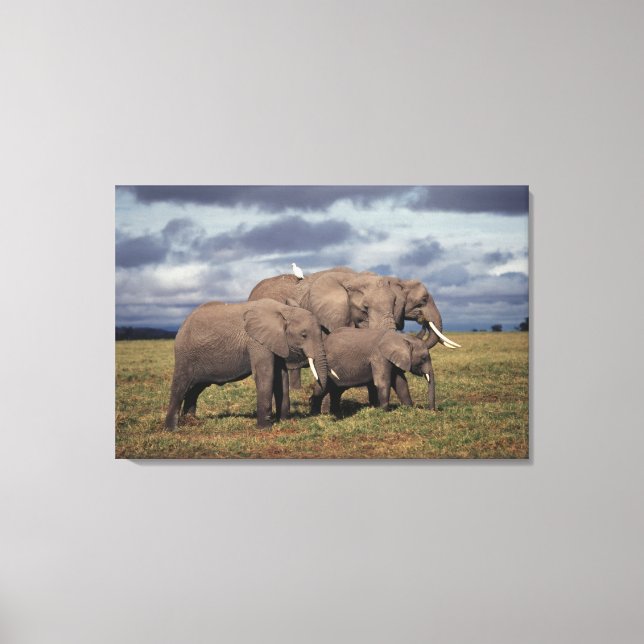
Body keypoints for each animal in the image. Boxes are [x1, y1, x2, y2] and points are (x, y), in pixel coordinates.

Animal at [164, 298, 328, 429]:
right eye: (304, 335)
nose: (311, 401)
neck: (283, 310)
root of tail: (182, 325)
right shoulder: (256, 342)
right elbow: (265, 374)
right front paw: (264, 428)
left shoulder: (276, 342)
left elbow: (281, 377)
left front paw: (284, 421)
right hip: (185, 354)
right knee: (181, 385)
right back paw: (171, 429)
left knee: (194, 389)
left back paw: (191, 421)